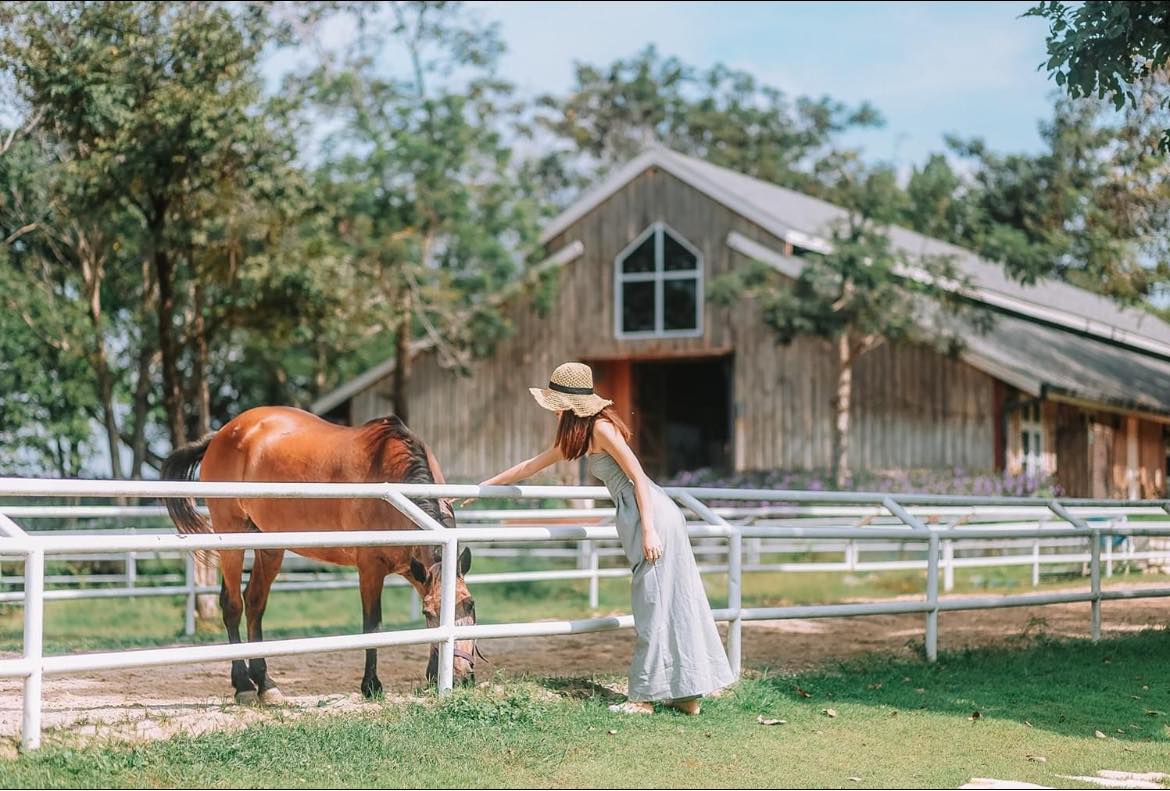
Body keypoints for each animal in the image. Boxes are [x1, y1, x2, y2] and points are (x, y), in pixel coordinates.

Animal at [162, 404, 477, 702]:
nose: (463, 677)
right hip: (232, 536)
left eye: (471, 606)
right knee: (232, 605)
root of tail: (223, 434)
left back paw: (266, 684)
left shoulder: (415, 570)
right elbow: (372, 625)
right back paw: (244, 686)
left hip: (269, 545)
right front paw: (371, 685)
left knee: (254, 603)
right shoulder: (370, 568)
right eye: (428, 613)